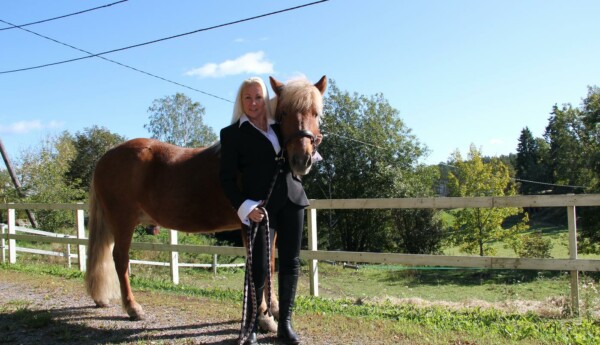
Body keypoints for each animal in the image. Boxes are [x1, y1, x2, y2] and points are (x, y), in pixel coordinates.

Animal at [84, 75, 326, 328]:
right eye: (285, 112)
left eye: (316, 113)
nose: (301, 160)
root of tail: (105, 157)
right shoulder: (250, 221)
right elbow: (256, 265)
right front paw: (264, 317)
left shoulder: (271, 222)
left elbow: (269, 264)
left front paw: (274, 309)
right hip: (123, 221)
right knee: (120, 259)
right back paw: (133, 308)